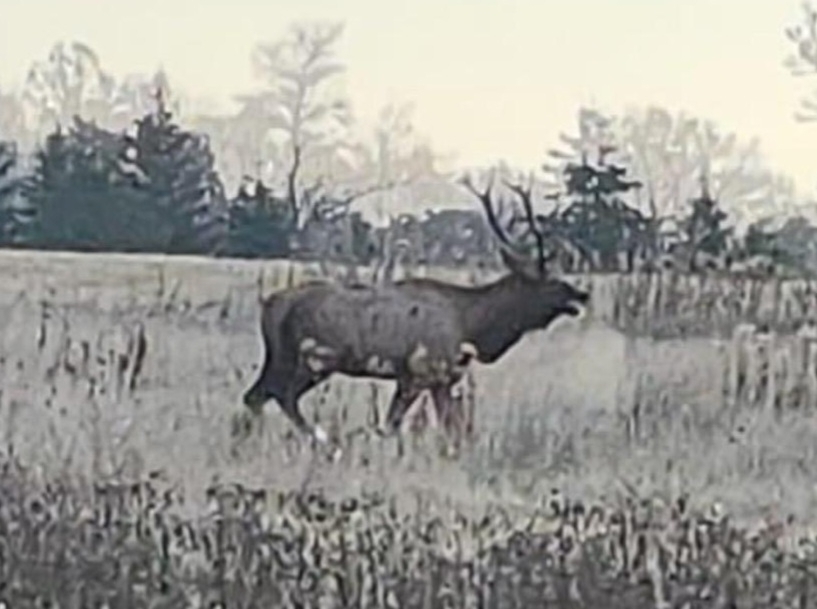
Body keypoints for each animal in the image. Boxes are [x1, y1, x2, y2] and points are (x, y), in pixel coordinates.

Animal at [239, 170, 590, 458]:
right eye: (548, 280)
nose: (581, 294)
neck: (472, 325)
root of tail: (270, 307)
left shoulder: (439, 380)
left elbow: (447, 428)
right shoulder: (421, 373)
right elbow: (398, 426)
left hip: (282, 358)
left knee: (254, 395)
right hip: (313, 359)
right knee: (281, 395)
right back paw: (323, 442)